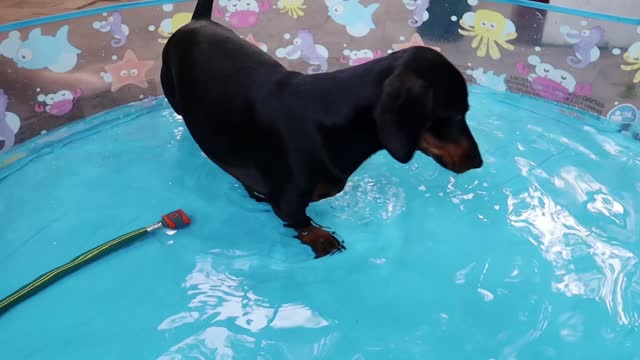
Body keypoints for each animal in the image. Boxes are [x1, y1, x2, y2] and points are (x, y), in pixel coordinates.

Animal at [161, 0, 484, 258]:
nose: (479, 163)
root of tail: (197, 21)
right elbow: (300, 222)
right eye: (453, 115)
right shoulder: (285, 200)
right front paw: (322, 239)